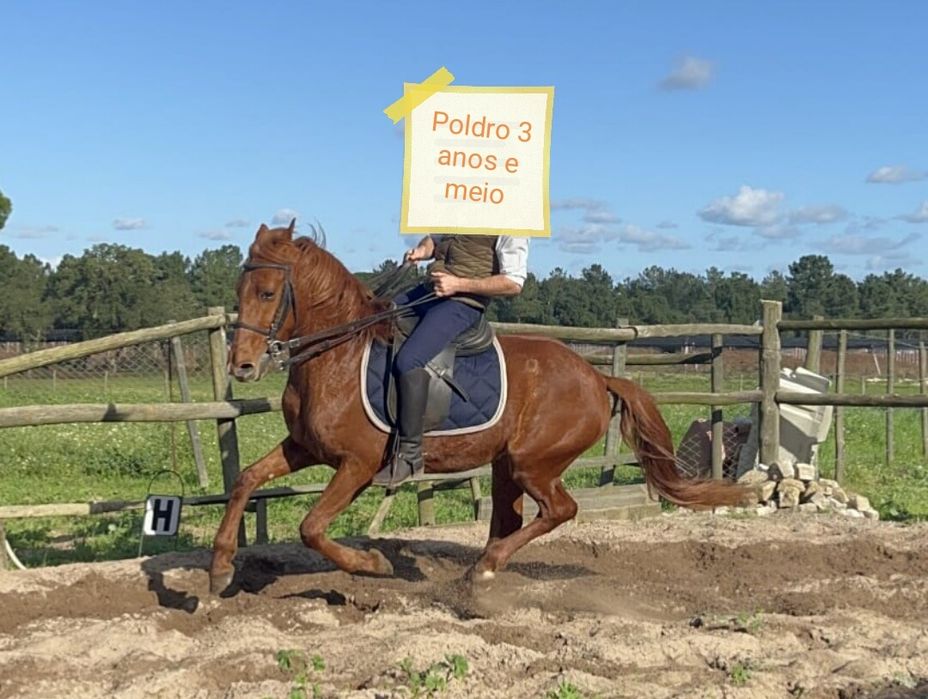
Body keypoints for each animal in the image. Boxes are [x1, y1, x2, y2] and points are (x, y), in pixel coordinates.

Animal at [208, 221, 747, 594]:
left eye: (268, 292)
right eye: (238, 290)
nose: (243, 367)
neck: (338, 355)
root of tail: (597, 376)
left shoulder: (357, 465)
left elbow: (312, 527)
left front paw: (374, 565)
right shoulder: (304, 448)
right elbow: (246, 481)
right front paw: (219, 569)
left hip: (533, 463)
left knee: (561, 509)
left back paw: (483, 572)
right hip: (508, 465)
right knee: (511, 520)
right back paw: (483, 573)